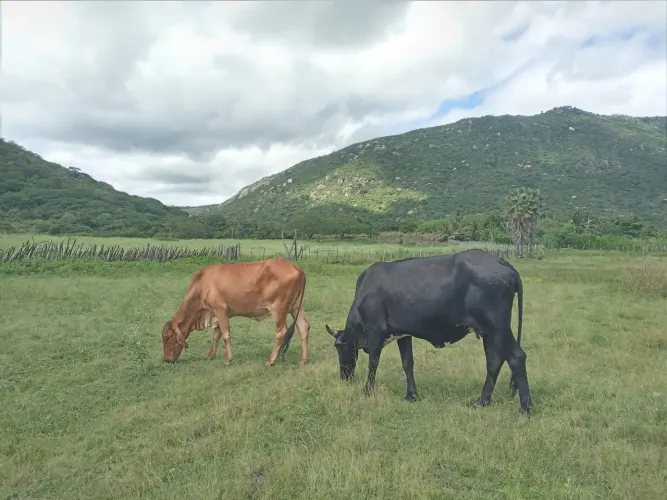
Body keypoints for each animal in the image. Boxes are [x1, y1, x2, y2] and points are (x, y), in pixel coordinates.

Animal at [161, 257, 309, 367]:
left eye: (167, 337)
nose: (166, 360)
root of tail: (295, 266)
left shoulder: (220, 309)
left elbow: (225, 335)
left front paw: (228, 359)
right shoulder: (217, 314)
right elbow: (216, 336)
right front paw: (210, 355)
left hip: (279, 309)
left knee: (281, 332)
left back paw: (270, 360)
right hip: (296, 307)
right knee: (303, 327)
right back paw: (303, 360)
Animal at [325, 248, 533, 415]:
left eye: (338, 347)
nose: (343, 377)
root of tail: (502, 262)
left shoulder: (376, 330)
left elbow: (373, 363)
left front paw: (367, 390)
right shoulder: (403, 333)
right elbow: (407, 363)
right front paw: (411, 395)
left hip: (498, 327)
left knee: (516, 357)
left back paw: (525, 408)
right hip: (488, 332)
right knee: (494, 361)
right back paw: (482, 401)